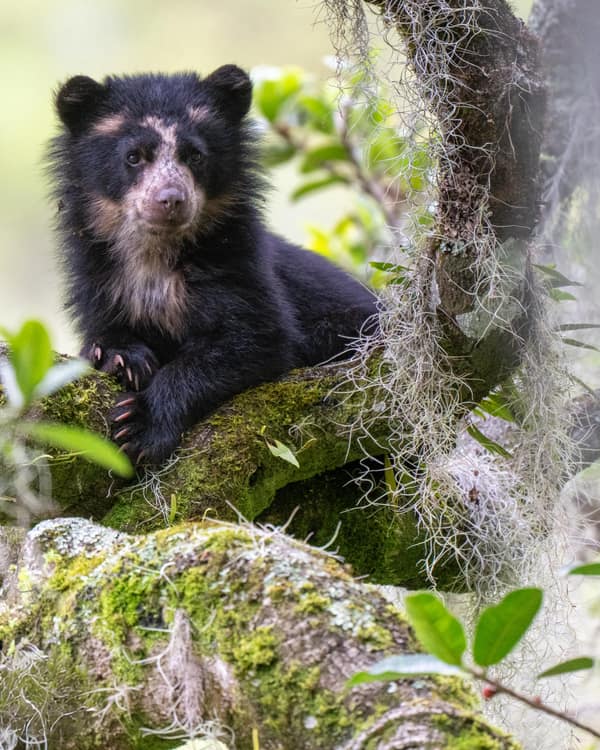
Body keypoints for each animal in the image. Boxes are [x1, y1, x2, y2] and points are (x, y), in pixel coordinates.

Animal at [48, 65, 377, 465]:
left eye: (194, 155)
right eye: (134, 156)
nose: (171, 199)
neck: (154, 253)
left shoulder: (234, 265)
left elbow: (254, 339)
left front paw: (139, 425)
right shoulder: (98, 277)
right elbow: (102, 329)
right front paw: (121, 357)